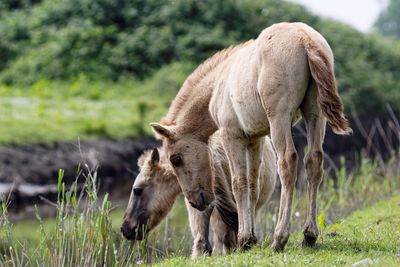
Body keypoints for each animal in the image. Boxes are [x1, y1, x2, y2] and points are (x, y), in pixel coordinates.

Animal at [149, 22, 350, 251]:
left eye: (176, 159)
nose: (195, 202)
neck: (219, 82)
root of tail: (305, 38)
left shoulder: (231, 135)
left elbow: (239, 182)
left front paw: (244, 238)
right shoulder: (255, 139)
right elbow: (253, 184)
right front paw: (251, 239)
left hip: (279, 117)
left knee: (288, 162)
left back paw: (279, 239)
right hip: (315, 114)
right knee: (314, 161)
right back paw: (309, 236)